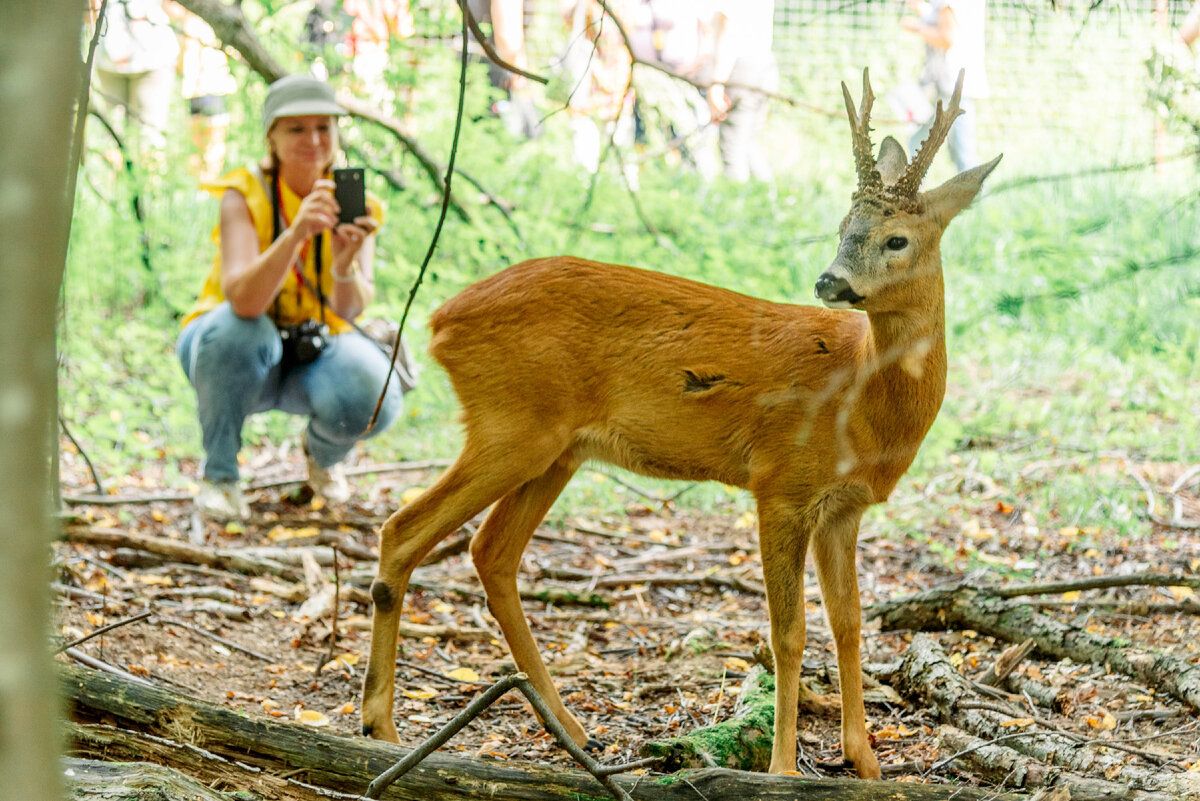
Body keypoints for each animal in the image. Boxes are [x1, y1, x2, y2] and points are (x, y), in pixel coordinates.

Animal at [360, 71, 998, 777]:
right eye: (842, 226)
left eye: (896, 239)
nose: (829, 281)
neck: (861, 403)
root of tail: (439, 321)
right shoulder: (780, 483)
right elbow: (788, 632)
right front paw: (783, 769)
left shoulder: (843, 508)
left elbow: (850, 623)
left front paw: (865, 762)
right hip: (511, 426)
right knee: (402, 530)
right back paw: (381, 725)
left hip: (555, 450)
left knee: (490, 553)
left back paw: (573, 731)